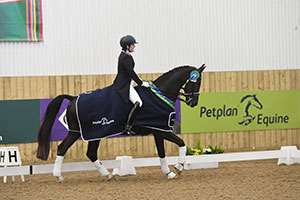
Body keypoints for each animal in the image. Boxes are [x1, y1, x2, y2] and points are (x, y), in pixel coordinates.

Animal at [36, 64, 205, 181]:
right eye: (196, 83)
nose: (193, 103)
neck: (161, 94)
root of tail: (72, 98)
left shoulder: (158, 130)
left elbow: (161, 153)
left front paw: (168, 173)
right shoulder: (162, 130)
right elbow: (182, 143)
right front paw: (179, 167)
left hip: (91, 134)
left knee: (90, 153)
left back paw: (108, 175)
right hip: (86, 132)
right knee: (63, 148)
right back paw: (59, 176)